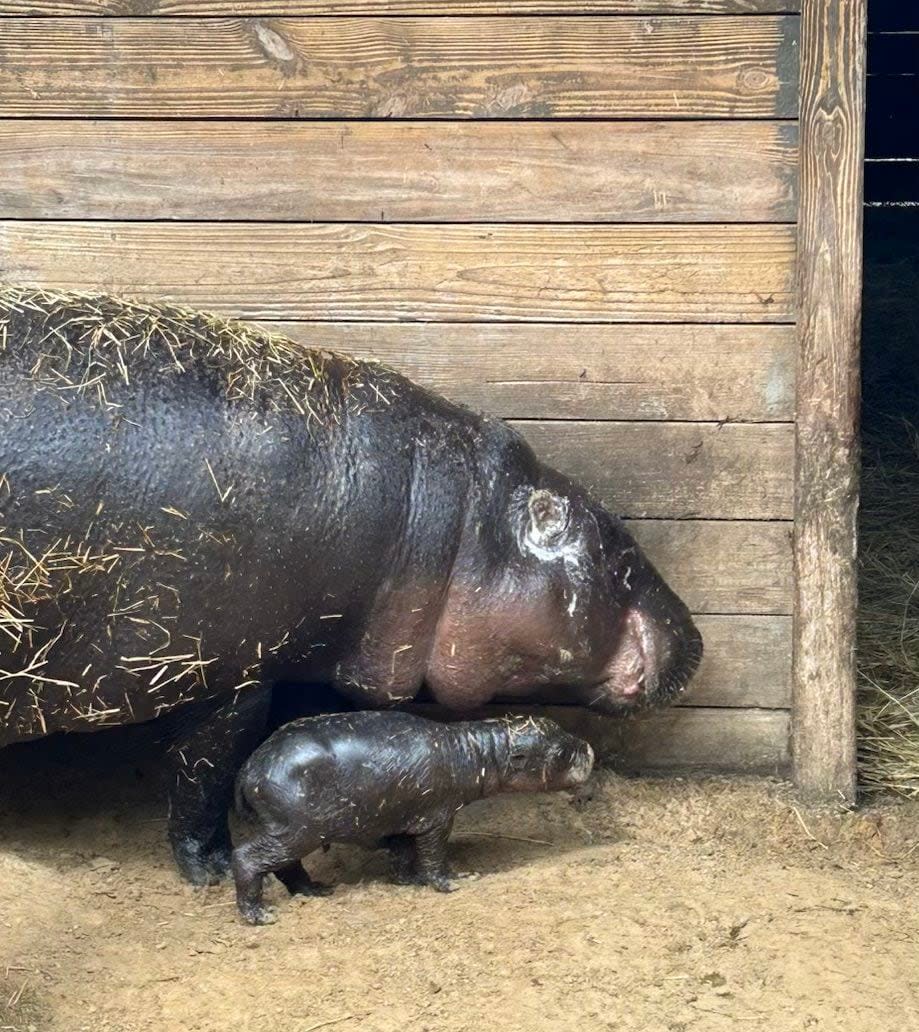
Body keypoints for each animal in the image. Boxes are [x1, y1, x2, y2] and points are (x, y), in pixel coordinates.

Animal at [1, 286, 705, 883]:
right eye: (619, 561)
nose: (698, 641)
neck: (447, 519)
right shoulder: (233, 671)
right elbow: (200, 774)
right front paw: (212, 870)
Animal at [232, 714, 598, 924]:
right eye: (562, 752)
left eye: (563, 728)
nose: (591, 749)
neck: (477, 752)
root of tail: (247, 768)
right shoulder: (438, 818)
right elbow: (434, 855)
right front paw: (455, 881)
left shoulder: (402, 819)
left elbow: (403, 854)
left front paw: (408, 881)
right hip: (298, 830)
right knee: (247, 858)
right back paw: (262, 916)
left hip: (288, 830)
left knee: (286, 866)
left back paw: (316, 890)